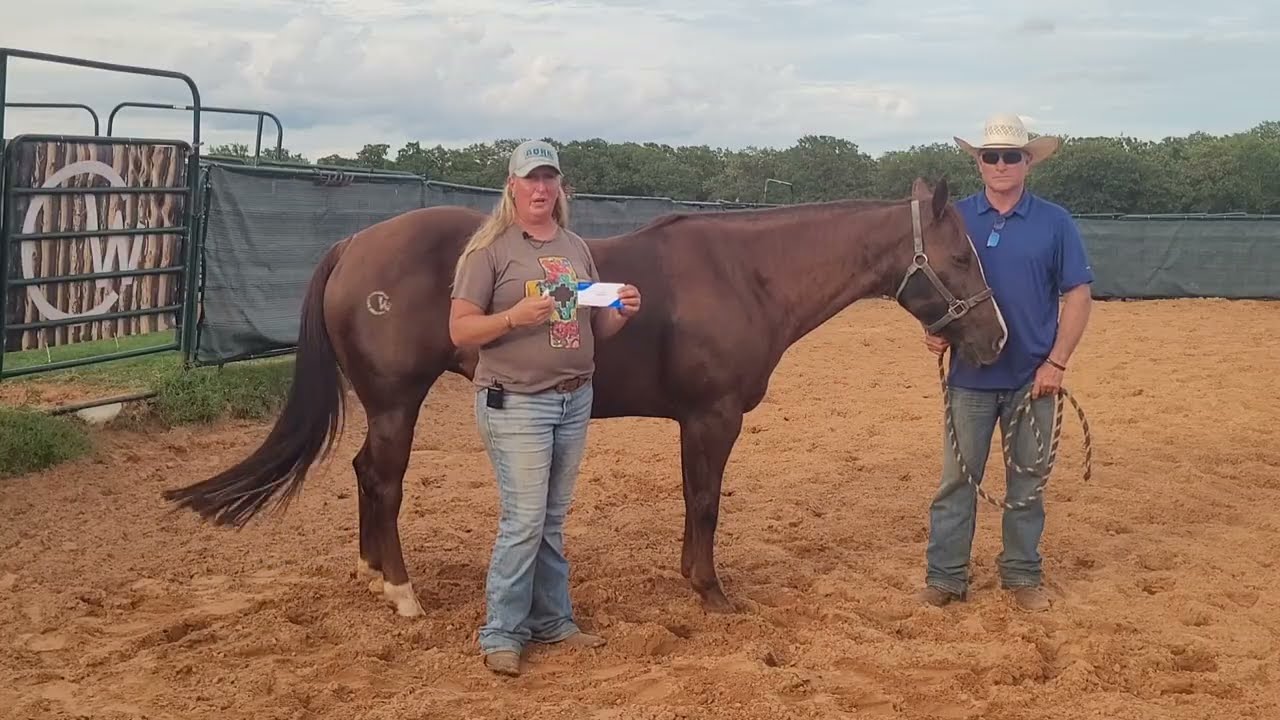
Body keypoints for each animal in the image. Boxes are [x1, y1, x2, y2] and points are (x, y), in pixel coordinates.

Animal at [163, 177, 1008, 618]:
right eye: (963, 257)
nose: (996, 340)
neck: (748, 275)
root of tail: (351, 244)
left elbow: (695, 499)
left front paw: (693, 579)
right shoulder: (712, 417)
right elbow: (706, 500)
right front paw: (711, 591)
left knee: (366, 477)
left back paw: (376, 574)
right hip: (397, 400)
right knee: (382, 478)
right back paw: (401, 592)